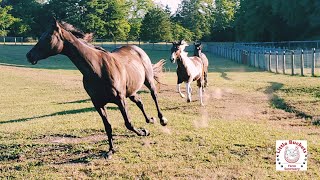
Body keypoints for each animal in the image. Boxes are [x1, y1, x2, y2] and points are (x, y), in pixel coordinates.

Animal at [25, 18, 168, 156]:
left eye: (48, 37)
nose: (29, 55)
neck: (97, 69)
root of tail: (136, 49)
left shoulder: (120, 100)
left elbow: (128, 123)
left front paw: (144, 132)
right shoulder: (98, 103)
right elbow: (107, 126)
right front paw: (111, 150)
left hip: (148, 80)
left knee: (154, 96)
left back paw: (162, 119)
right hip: (131, 91)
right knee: (140, 102)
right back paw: (150, 120)